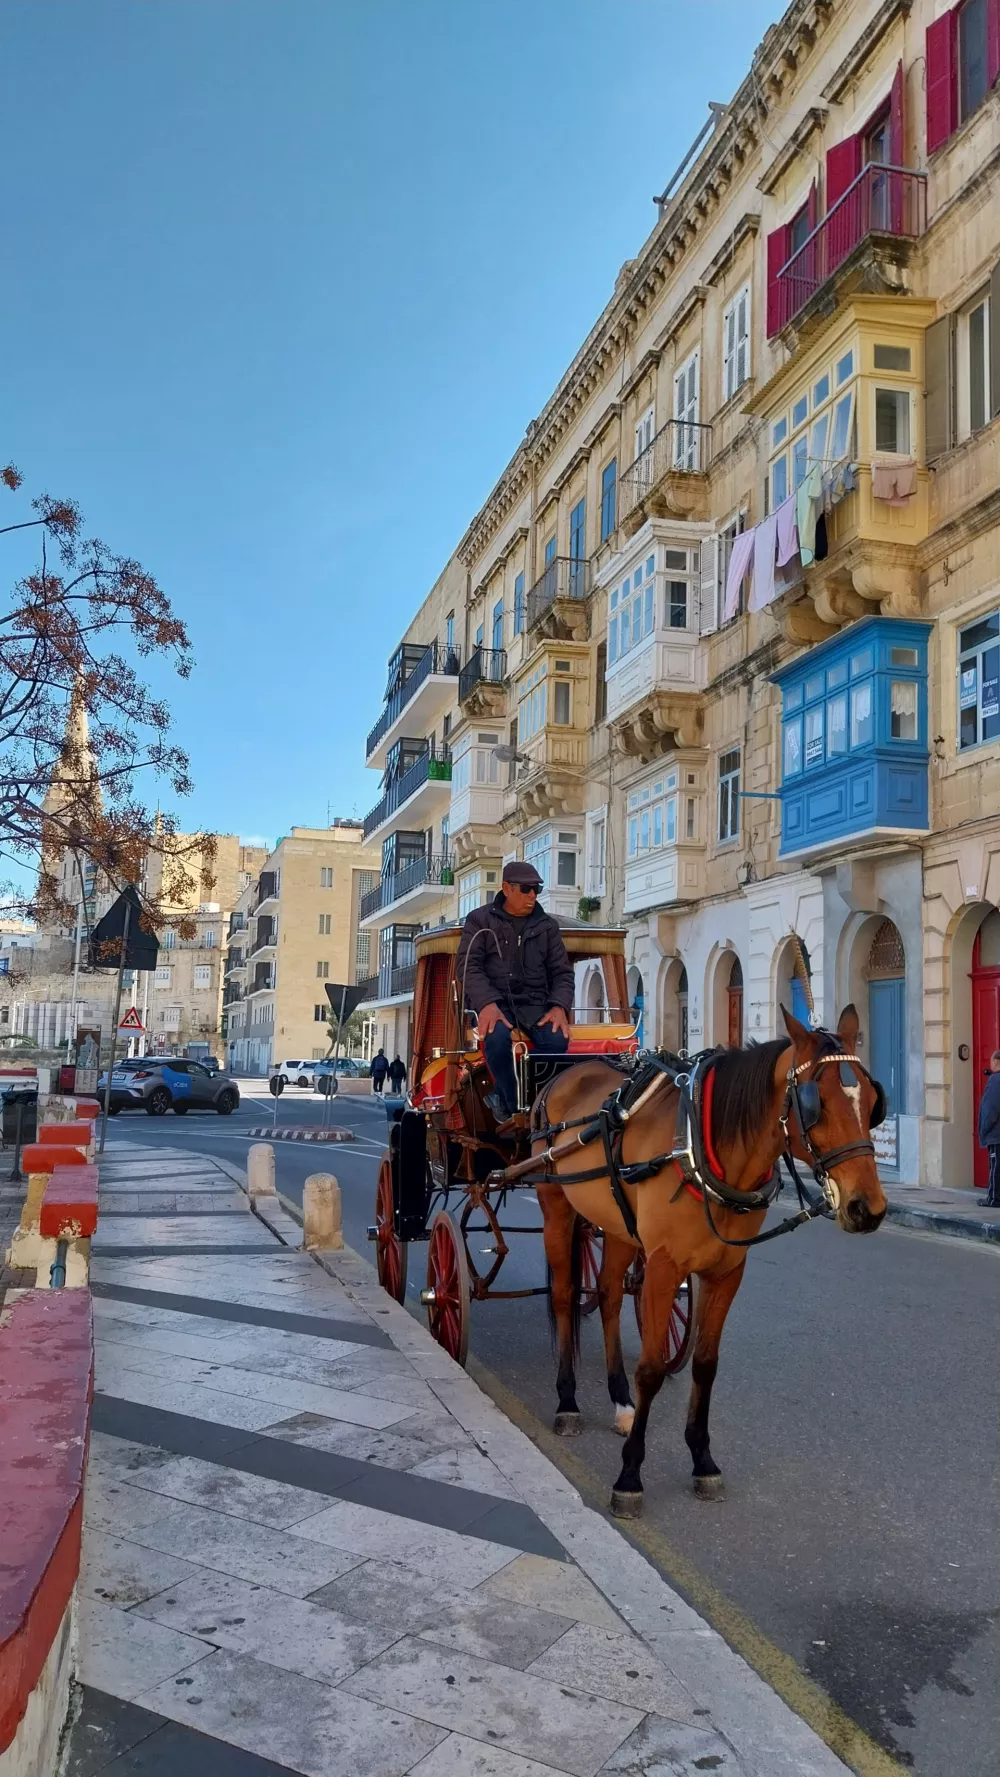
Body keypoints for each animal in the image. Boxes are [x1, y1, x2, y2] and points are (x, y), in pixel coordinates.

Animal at [536, 1002, 888, 1514]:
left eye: (872, 1099)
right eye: (813, 1102)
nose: (868, 1209)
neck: (703, 1146)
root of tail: (565, 1075)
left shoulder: (727, 1272)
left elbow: (705, 1363)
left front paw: (702, 1460)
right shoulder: (664, 1268)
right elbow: (651, 1369)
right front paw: (630, 1475)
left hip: (619, 1226)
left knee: (607, 1296)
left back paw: (620, 1400)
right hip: (556, 1206)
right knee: (564, 1295)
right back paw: (566, 1402)